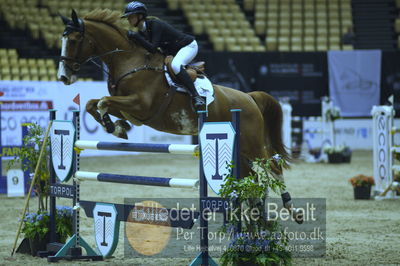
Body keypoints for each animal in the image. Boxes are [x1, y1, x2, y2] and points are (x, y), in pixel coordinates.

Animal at [57, 9, 304, 222]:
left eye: (75, 40)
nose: (62, 77)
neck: (129, 62)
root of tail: (249, 98)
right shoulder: (130, 108)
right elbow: (93, 104)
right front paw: (117, 127)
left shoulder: (140, 105)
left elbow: (103, 102)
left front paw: (114, 126)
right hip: (241, 149)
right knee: (251, 176)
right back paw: (256, 217)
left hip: (252, 144)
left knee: (274, 167)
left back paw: (293, 211)